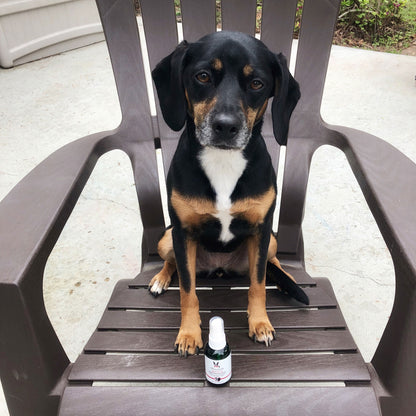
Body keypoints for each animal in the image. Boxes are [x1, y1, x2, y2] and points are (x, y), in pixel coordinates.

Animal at [150, 31, 308, 358]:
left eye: (257, 83)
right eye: (203, 76)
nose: (225, 126)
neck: (223, 161)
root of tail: (220, 269)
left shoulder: (261, 229)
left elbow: (258, 284)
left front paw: (260, 323)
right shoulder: (182, 233)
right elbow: (187, 291)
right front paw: (188, 333)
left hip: (271, 240)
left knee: (272, 263)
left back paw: (285, 278)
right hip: (166, 238)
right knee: (173, 263)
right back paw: (160, 278)